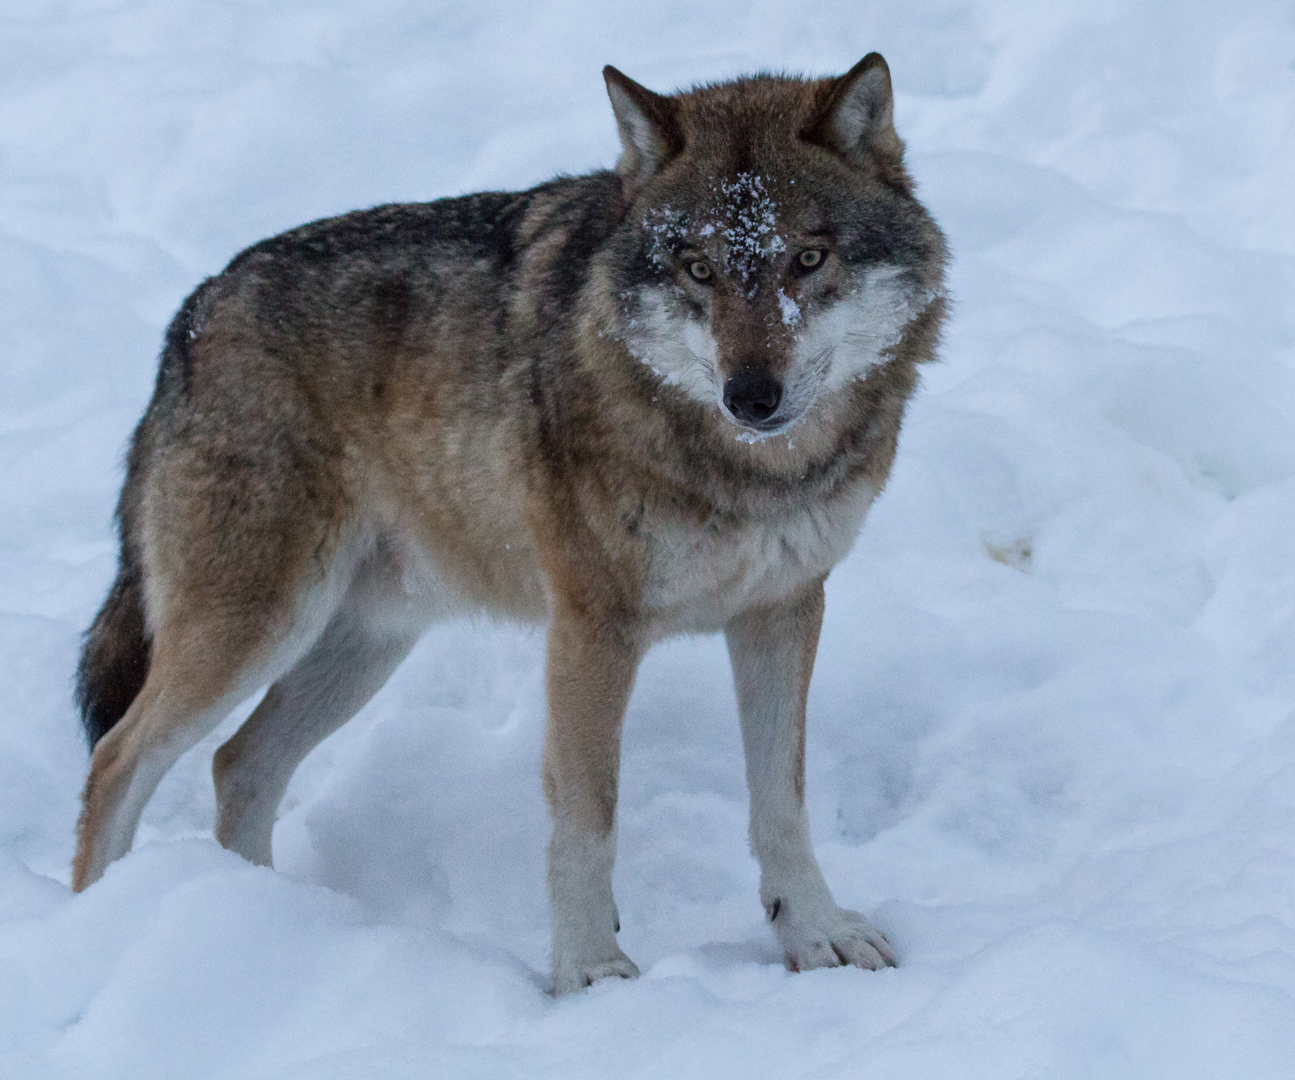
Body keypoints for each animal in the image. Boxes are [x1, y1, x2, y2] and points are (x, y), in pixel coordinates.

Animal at [70, 54, 947, 989]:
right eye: (697, 269)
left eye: (807, 259)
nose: (750, 396)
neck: (752, 472)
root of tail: (192, 314)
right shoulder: (593, 628)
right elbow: (588, 817)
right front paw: (592, 973)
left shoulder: (783, 609)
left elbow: (782, 801)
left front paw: (814, 933)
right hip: (257, 627)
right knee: (115, 761)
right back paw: (90, 930)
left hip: (360, 646)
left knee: (237, 767)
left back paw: (257, 916)